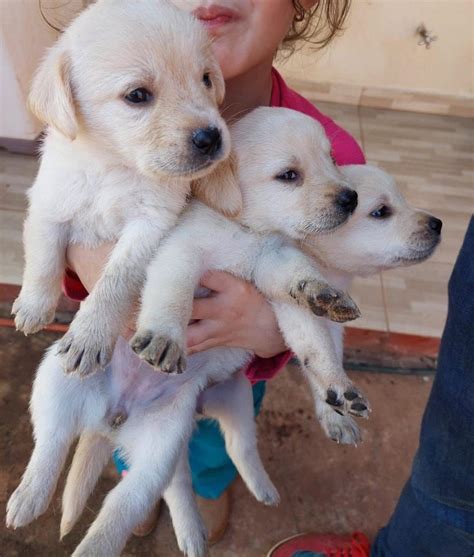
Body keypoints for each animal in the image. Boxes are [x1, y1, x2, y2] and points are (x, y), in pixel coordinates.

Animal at [10, 0, 233, 378]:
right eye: (137, 95)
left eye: (206, 79)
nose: (211, 137)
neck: (112, 166)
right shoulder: (49, 205)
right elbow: (43, 259)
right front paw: (33, 306)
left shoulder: (151, 224)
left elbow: (115, 283)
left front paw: (90, 335)